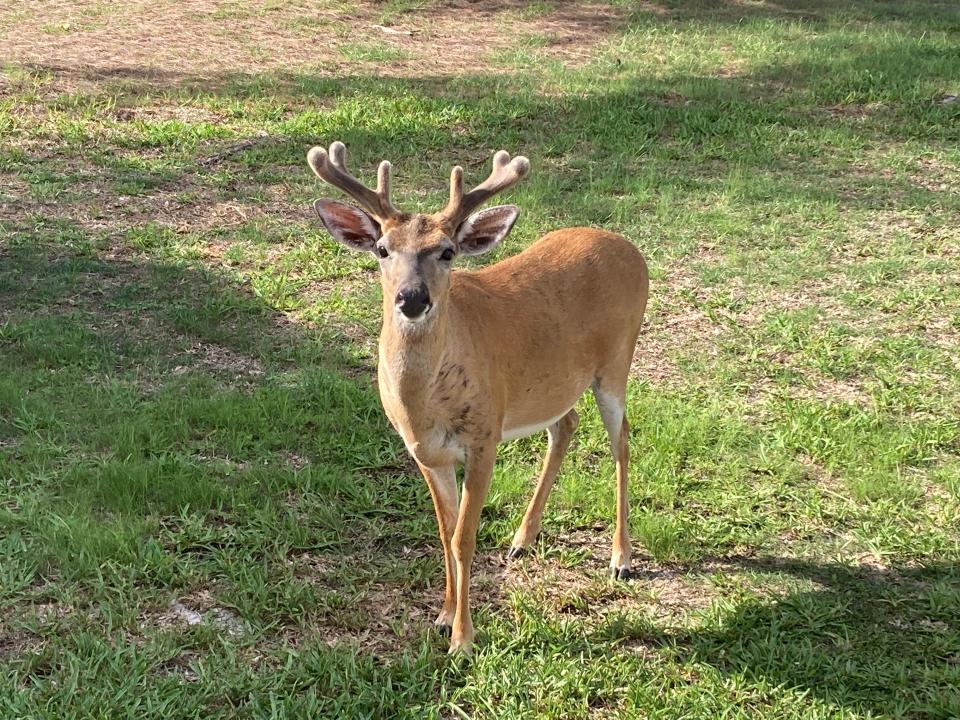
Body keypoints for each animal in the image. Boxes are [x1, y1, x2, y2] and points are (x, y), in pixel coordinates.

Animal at [308, 141, 652, 652]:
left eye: (447, 251)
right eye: (382, 248)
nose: (412, 298)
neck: (424, 408)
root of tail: (629, 247)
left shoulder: (484, 437)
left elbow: (464, 538)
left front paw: (463, 640)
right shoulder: (427, 454)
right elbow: (444, 531)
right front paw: (443, 616)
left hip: (616, 362)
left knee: (622, 441)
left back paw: (621, 558)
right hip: (552, 384)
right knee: (565, 425)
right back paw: (523, 538)